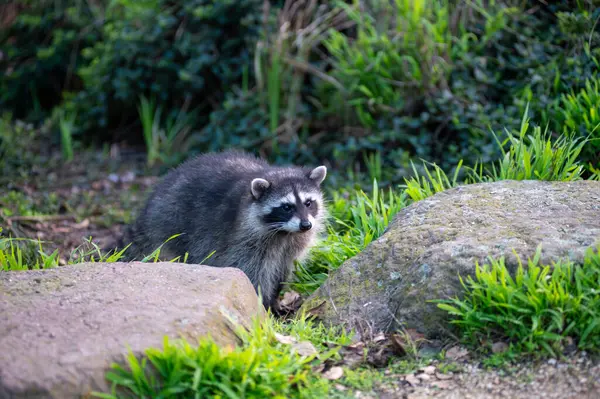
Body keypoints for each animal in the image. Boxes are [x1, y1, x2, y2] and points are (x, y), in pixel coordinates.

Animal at [112, 150, 328, 310]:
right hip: (172, 220)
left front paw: (275, 298)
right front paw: (262, 303)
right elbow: (251, 271)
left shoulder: (292, 245)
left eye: (308, 203)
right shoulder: (243, 239)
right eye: (286, 207)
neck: (285, 232)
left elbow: (282, 269)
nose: (306, 225)